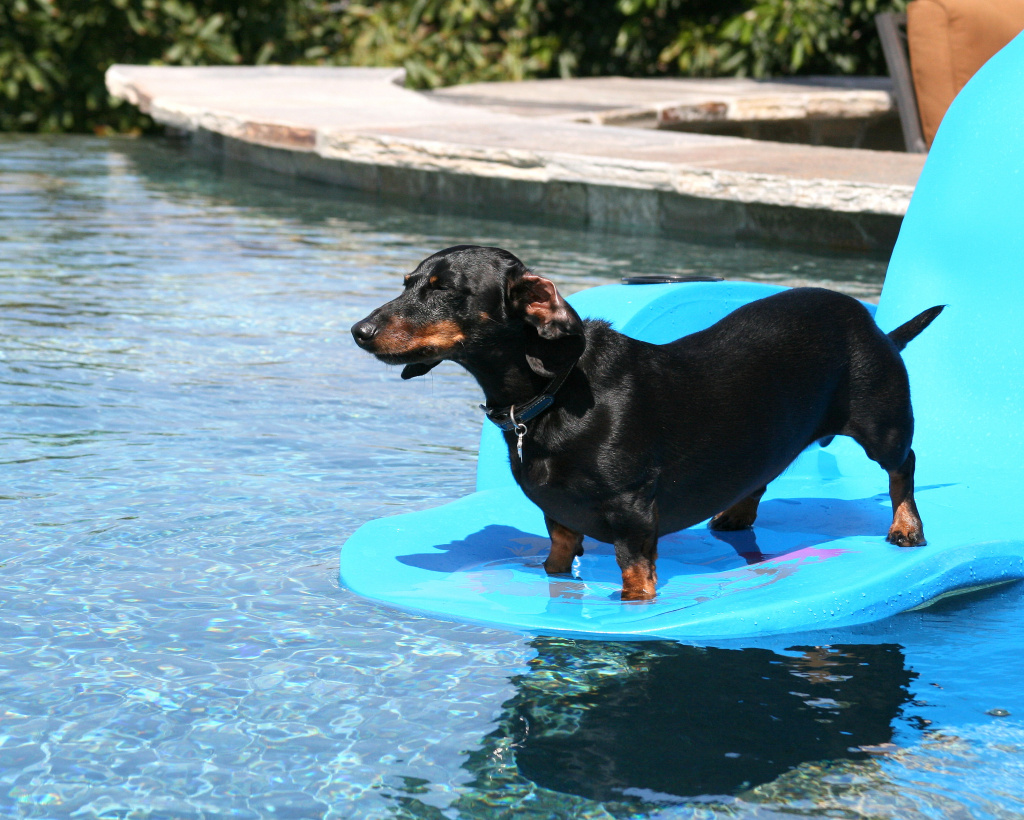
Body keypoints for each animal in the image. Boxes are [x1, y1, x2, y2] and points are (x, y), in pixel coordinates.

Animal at [354, 246, 942, 597]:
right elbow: (557, 559)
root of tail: (870, 321)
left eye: (442, 288)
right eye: (407, 282)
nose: (359, 331)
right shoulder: (559, 518)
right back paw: (736, 512)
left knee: (904, 466)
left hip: (882, 424)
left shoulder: (633, 513)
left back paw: (906, 527)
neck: (554, 392)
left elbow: (636, 577)